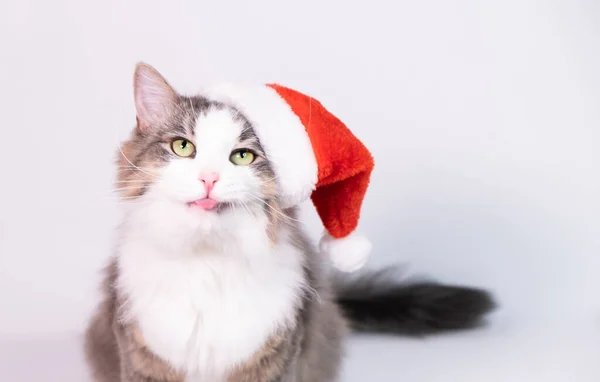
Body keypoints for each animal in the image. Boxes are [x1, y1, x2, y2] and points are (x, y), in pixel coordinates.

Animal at [84, 63, 496, 382]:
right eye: (183, 147)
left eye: (242, 156)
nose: (209, 178)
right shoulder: (143, 356)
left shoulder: (272, 356)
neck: (208, 261)